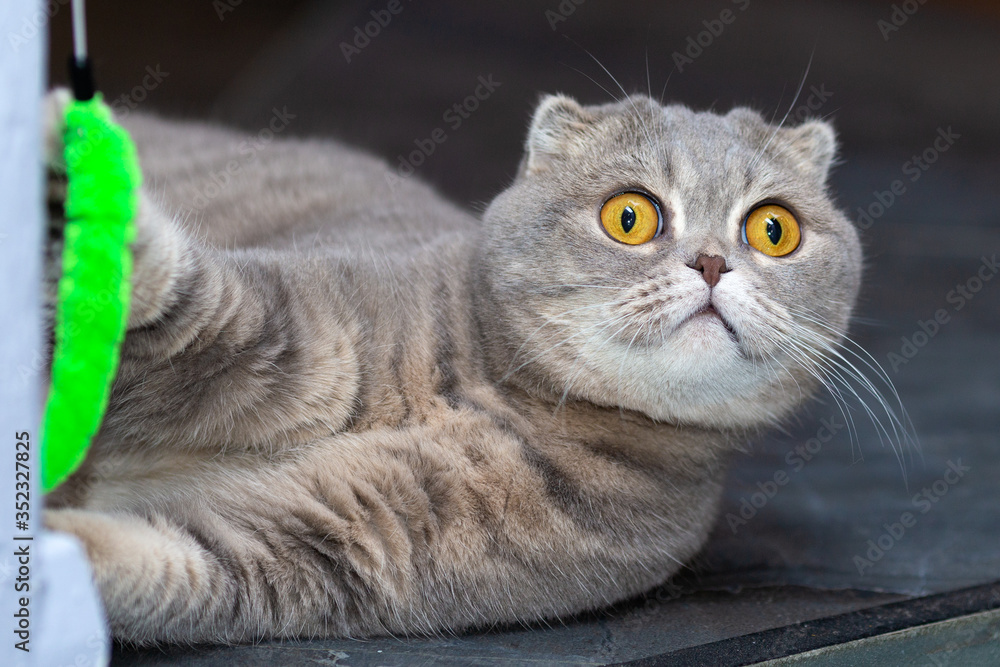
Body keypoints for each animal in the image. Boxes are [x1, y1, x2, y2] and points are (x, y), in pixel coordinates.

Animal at [43, 90, 860, 648]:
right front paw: (82, 191)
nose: (713, 263)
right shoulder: (286, 332)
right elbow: (183, 308)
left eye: (774, 228)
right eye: (629, 216)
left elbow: (159, 562)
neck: (483, 395)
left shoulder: (331, 544)